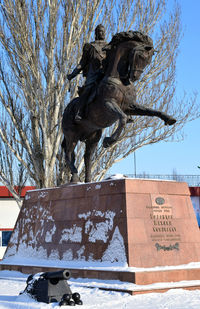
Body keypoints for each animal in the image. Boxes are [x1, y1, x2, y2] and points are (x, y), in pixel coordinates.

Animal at [61, 31, 176, 182]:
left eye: (149, 60)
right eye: (141, 56)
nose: (135, 77)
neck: (119, 80)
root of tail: (65, 111)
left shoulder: (131, 106)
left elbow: (151, 111)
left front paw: (169, 118)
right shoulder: (108, 104)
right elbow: (122, 118)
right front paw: (109, 141)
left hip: (92, 137)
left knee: (87, 157)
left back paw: (88, 180)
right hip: (71, 135)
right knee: (68, 154)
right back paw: (74, 175)